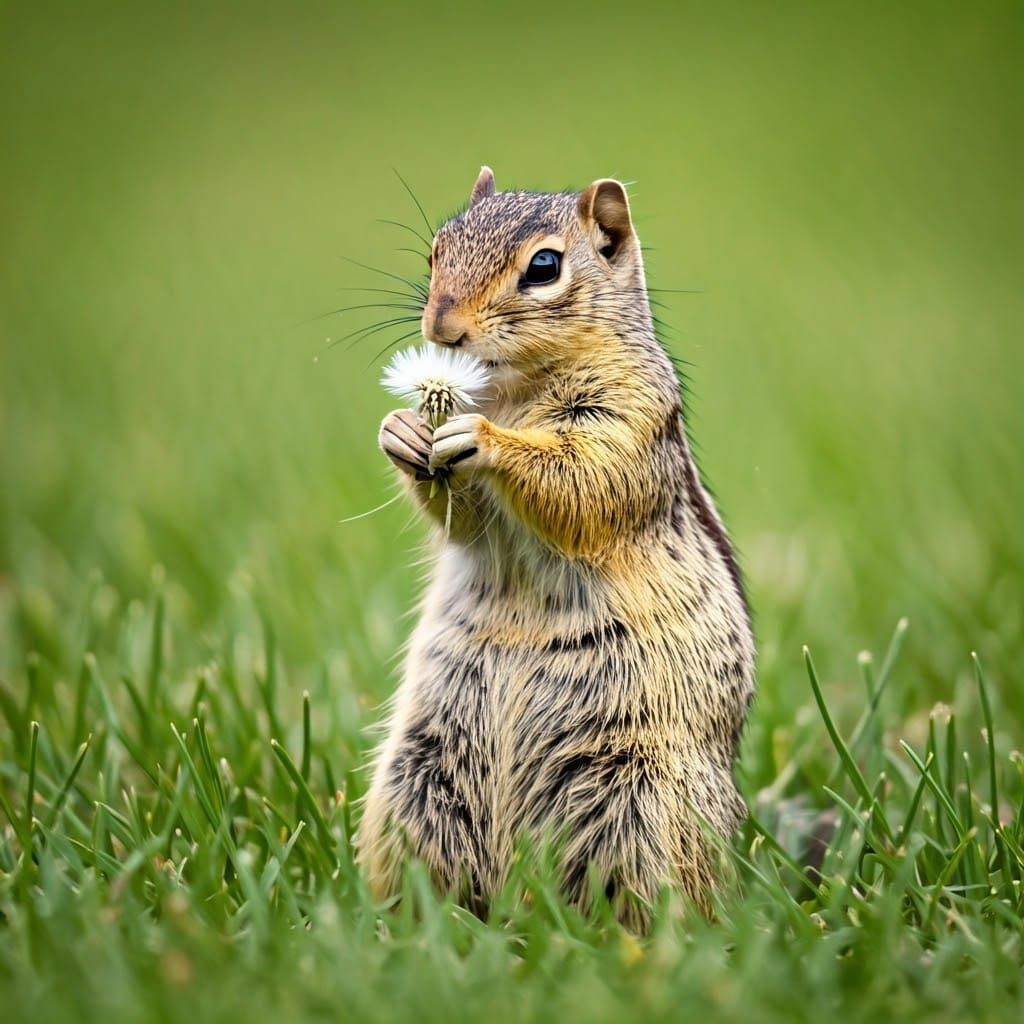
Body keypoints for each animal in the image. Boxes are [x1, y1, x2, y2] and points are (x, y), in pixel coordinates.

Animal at [357, 167, 755, 927]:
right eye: (435, 252)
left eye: (544, 267)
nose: (441, 329)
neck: (514, 389)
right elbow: (465, 521)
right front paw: (403, 431)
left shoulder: (629, 420)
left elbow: (581, 483)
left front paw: (484, 439)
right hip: (414, 783)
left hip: (638, 799)